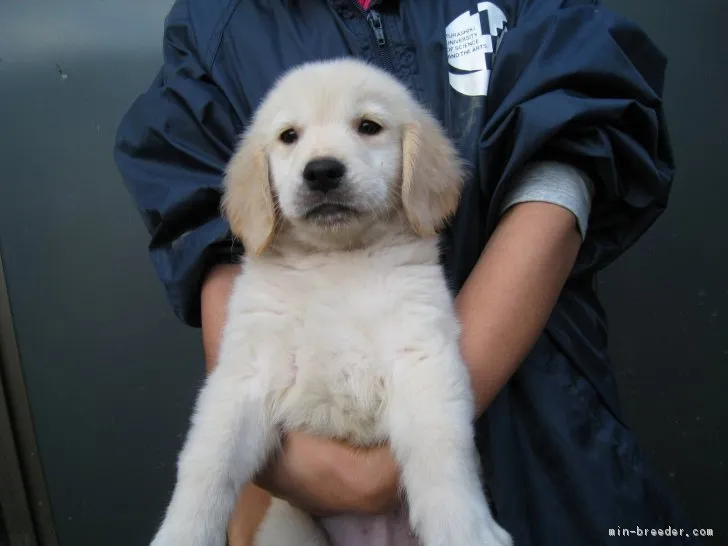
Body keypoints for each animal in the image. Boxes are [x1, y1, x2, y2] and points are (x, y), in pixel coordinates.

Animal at [149, 58, 512, 544]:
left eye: (368, 126)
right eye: (289, 136)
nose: (321, 171)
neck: (337, 261)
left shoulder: (420, 357)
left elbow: (442, 450)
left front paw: (464, 529)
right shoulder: (245, 373)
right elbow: (208, 462)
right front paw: (181, 532)